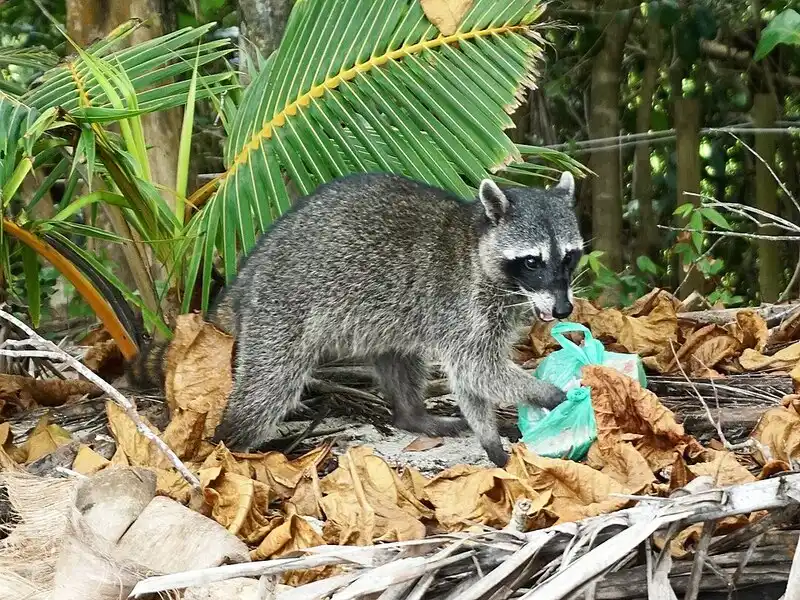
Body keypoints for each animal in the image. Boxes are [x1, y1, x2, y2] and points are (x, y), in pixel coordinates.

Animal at [128, 171, 584, 466]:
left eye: (569, 257)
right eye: (532, 261)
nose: (564, 310)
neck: (479, 244)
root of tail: (249, 272)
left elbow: (471, 380)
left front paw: (489, 436)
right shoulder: (463, 303)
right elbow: (477, 369)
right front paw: (547, 394)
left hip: (392, 313)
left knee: (399, 358)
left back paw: (412, 414)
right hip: (281, 308)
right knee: (266, 389)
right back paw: (228, 446)